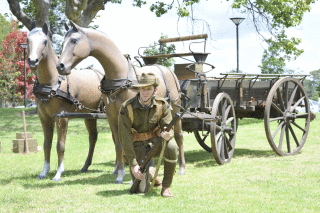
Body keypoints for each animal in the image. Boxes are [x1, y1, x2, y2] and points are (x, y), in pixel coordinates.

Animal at [27, 22, 104, 181]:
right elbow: (47, 144)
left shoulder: (62, 118)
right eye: (27, 40)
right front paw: (44, 172)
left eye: (45, 41)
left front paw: (58, 173)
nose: (32, 61)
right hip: (90, 116)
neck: (53, 83)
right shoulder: (44, 118)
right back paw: (85, 166)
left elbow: (60, 145)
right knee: (93, 136)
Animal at [56, 22, 184, 185]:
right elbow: (119, 143)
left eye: (74, 40)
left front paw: (130, 176)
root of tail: (168, 70)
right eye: (62, 43)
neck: (120, 77)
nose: (60, 66)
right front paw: (121, 174)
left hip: (175, 110)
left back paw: (181, 167)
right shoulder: (113, 116)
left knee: (179, 136)